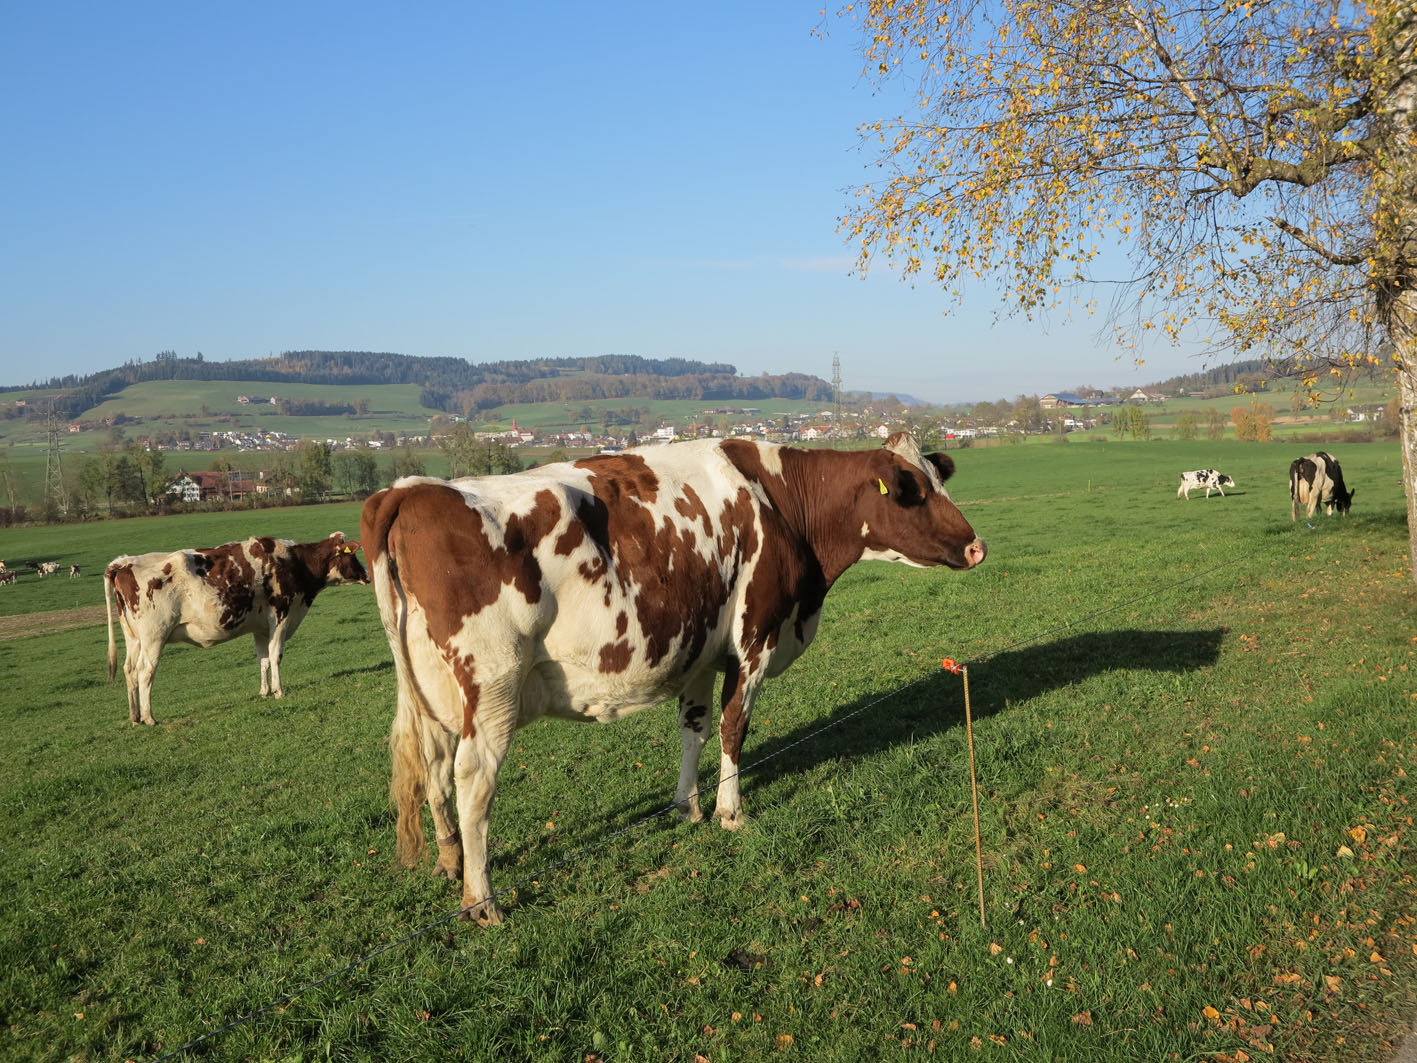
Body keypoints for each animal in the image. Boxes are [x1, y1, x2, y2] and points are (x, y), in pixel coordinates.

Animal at [104, 532, 368, 725]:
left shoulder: (261, 626)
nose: (366, 574)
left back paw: (135, 716)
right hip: (154, 636)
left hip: (134, 638)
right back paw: (149, 717)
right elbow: (276, 655)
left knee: (129, 670)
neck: (294, 562)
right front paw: (279, 690)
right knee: (145, 671)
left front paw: (264, 691)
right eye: (353, 556)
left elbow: (263, 658)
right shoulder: (281, 616)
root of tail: (124, 563)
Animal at [361, 433, 987, 925]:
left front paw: (686, 806)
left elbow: (696, 728)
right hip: (492, 683)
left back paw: (449, 861)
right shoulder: (753, 640)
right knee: (474, 777)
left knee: (434, 767)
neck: (781, 502)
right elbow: (735, 728)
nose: (977, 546)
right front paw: (730, 813)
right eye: (913, 491)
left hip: (432, 692)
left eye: (939, 478)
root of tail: (410, 489)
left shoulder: (700, 652)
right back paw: (481, 896)